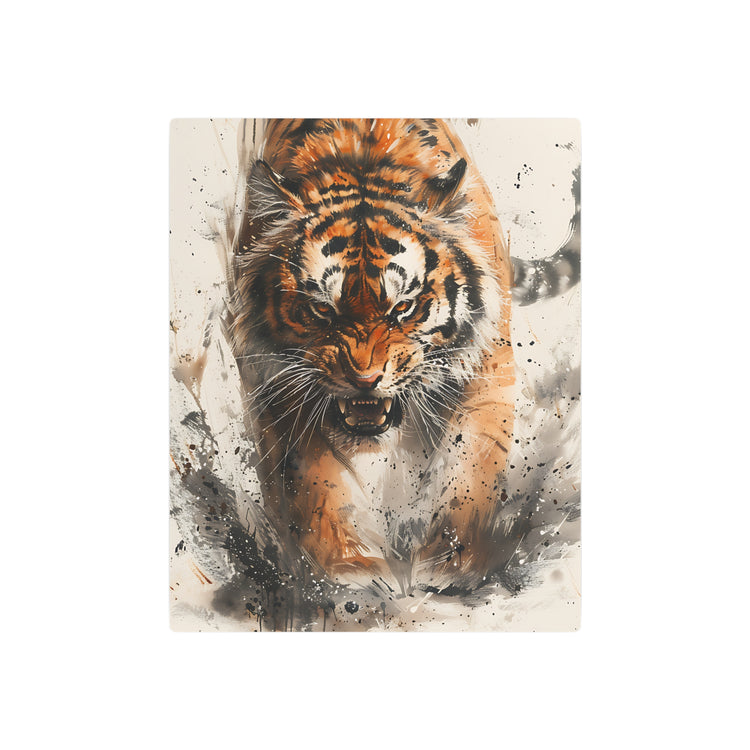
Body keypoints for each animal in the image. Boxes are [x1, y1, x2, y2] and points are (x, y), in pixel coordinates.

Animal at [226, 118, 516, 594]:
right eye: (323, 309)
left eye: (404, 308)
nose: (364, 379)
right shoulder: (278, 384)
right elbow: (316, 481)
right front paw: (350, 568)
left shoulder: (486, 367)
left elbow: (469, 467)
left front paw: (450, 562)